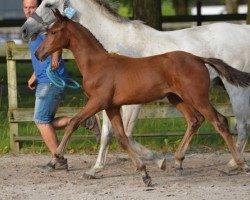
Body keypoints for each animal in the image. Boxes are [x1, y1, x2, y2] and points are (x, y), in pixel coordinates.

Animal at [35, 10, 250, 186]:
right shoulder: (111, 106)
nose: (38, 53)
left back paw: (238, 163)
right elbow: (121, 137)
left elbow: (74, 123)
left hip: (197, 97)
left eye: (53, 32)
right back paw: (177, 162)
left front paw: (53, 160)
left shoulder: (97, 101)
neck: (97, 64)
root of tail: (198, 58)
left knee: (220, 121)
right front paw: (144, 173)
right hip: (176, 98)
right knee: (195, 120)